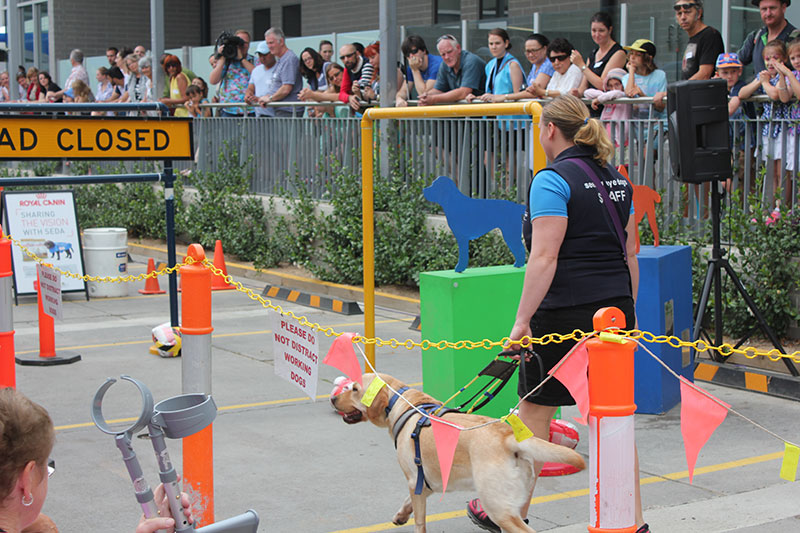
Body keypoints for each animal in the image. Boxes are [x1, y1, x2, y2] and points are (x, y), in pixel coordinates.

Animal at [328, 372, 584, 528]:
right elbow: (407, 502)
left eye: (354, 389)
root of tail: (508, 436)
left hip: (497, 506)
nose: (333, 400)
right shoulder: (426, 481)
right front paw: (401, 515)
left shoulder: (414, 480)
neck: (402, 403)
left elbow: (419, 522)